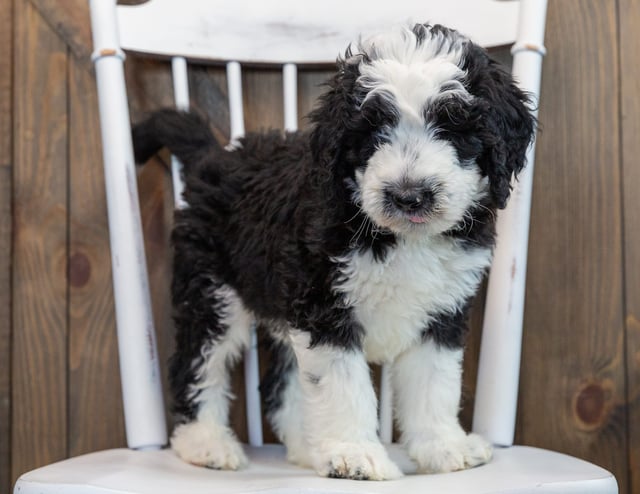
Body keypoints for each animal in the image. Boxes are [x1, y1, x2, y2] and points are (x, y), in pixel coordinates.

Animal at [134, 22, 536, 478]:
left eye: (454, 130)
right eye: (373, 133)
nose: (409, 196)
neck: (399, 238)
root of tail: (213, 157)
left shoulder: (441, 314)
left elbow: (434, 383)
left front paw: (443, 446)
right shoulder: (324, 308)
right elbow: (343, 387)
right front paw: (354, 454)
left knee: (279, 386)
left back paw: (307, 448)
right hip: (211, 290)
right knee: (197, 362)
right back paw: (206, 444)